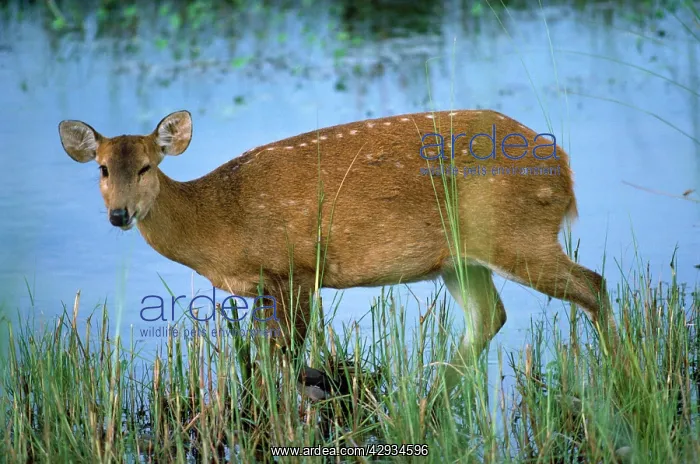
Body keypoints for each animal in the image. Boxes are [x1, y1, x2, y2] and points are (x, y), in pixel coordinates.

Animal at [58, 109, 617, 400]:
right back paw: (426, 398)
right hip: (459, 259)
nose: (120, 214)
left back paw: (621, 371)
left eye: (147, 166)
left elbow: (284, 356)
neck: (220, 222)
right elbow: (263, 356)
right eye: (103, 168)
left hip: (514, 233)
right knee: (490, 316)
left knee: (592, 283)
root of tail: (563, 169)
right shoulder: (265, 288)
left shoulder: (298, 269)